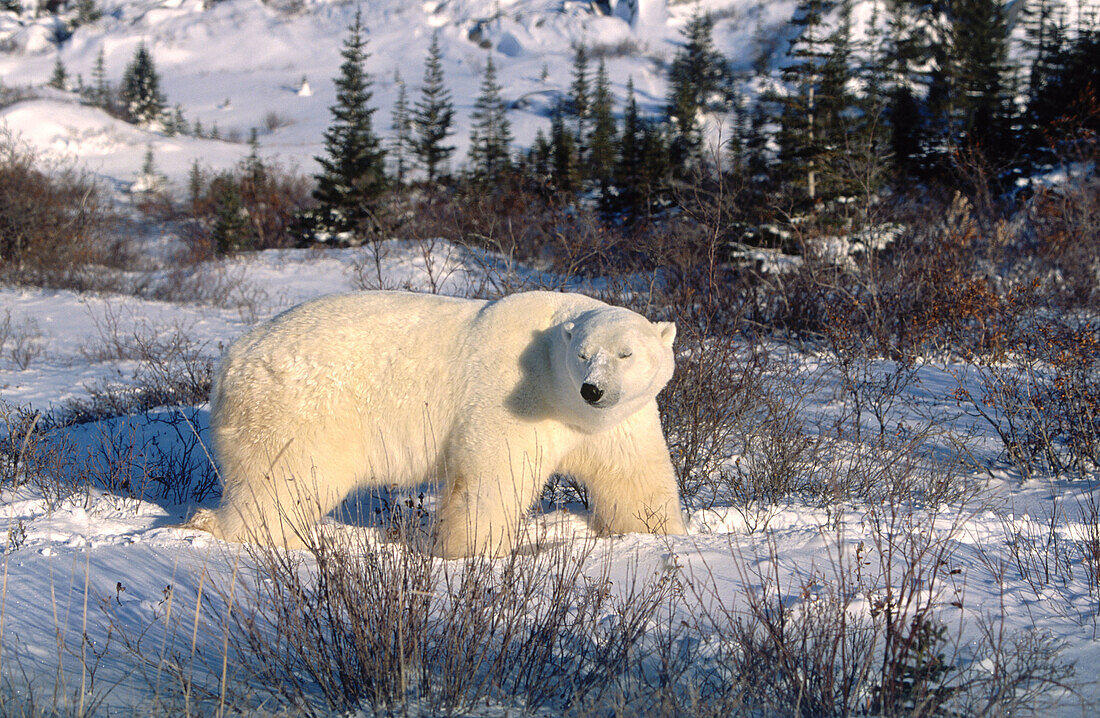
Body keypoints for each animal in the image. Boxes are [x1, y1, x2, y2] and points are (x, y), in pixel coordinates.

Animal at [193, 288, 682, 556]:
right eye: (583, 354)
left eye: (626, 353)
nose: (594, 390)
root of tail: (232, 360)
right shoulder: (511, 395)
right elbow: (493, 475)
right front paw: (474, 553)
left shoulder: (621, 419)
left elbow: (635, 474)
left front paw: (661, 533)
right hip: (297, 410)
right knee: (281, 482)